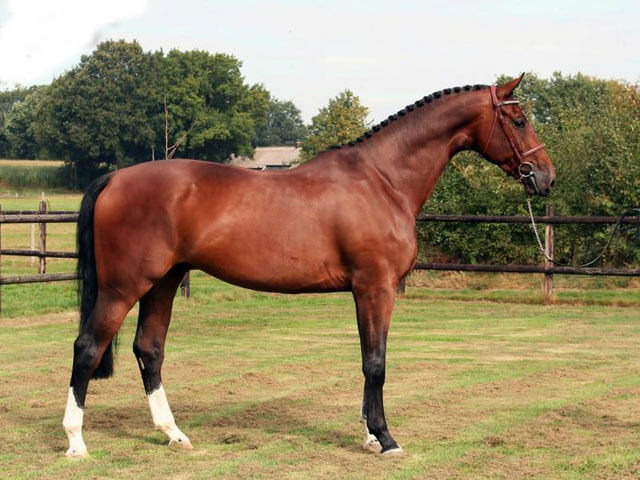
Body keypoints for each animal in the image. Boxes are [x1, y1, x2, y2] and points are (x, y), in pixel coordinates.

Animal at [62, 74, 555, 457]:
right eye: (519, 120)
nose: (546, 177)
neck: (382, 179)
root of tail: (115, 178)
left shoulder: (366, 291)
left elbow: (367, 358)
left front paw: (369, 435)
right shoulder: (375, 287)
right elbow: (376, 362)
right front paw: (385, 439)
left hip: (163, 282)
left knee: (149, 350)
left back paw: (174, 434)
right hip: (124, 287)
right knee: (87, 348)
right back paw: (76, 442)